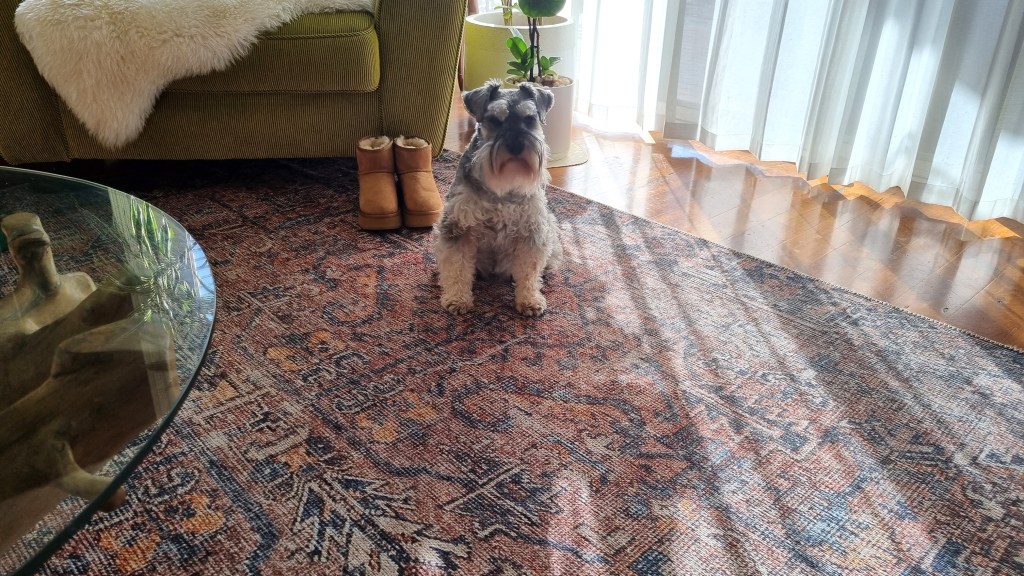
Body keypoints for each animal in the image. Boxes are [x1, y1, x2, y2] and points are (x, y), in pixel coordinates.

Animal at [433, 80, 563, 317]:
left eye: (529, 119)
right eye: (494, 120)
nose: (516, 146)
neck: (503, 190)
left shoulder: (532, 232)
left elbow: (529, 271)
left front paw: (529, 299)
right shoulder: (457, 228)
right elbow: (457, 266)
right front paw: (457, 299)